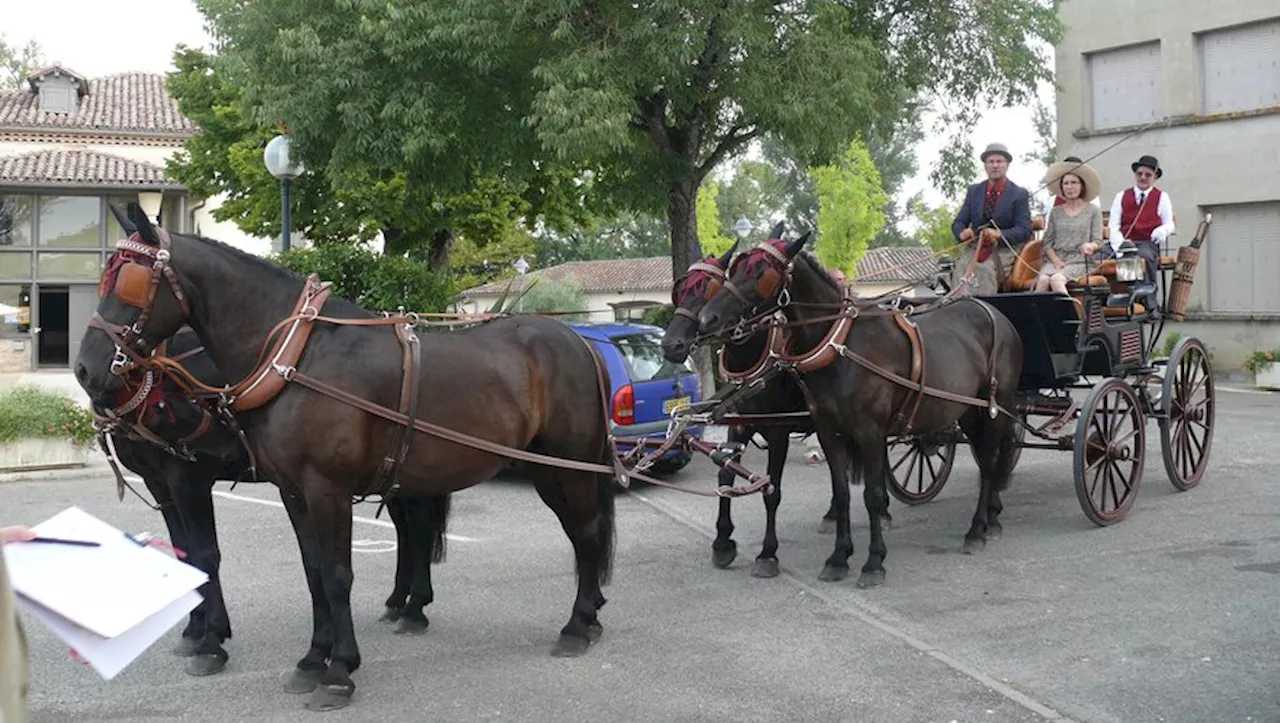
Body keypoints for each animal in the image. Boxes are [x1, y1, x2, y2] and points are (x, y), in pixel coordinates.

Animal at [91, 327, 450, 675]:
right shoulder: (160, 486)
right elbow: (186, 555)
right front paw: (194, 631)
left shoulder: (188, 480)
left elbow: (205, 556)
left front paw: (212, 641)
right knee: (405, 529)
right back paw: (398, 602)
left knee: (418, 528)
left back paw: (414, 608)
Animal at [660, 239, 880, 578]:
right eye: (680, 290)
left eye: (708, 288)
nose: (671, 345)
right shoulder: (739, 424)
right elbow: (726, 476)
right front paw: (722, 542)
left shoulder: (778, 432)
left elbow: (771, 490)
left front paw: (767, 553)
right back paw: (833, 514)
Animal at [696, 234, 1024, 588]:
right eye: (735, 268)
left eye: (761, 272)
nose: (707, 319)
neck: (840, 347)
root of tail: (995, 313)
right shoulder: (829, 431)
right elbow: (842, 494)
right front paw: (839, 557)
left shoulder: (869, 432)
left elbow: (873, 495)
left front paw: (873, 561)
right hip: (967, 410)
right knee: (985, 460)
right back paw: (988, 520)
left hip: (994, 406)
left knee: (989, 464)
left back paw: (978, 528)